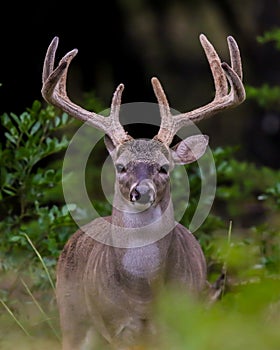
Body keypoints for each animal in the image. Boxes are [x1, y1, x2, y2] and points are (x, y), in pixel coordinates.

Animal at [41, 33, 245, 350]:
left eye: (164, 167)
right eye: (121, 166)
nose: (142, 192)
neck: (143, 296)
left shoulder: (181, 325)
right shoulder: (117, 328)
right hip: (71, 316)